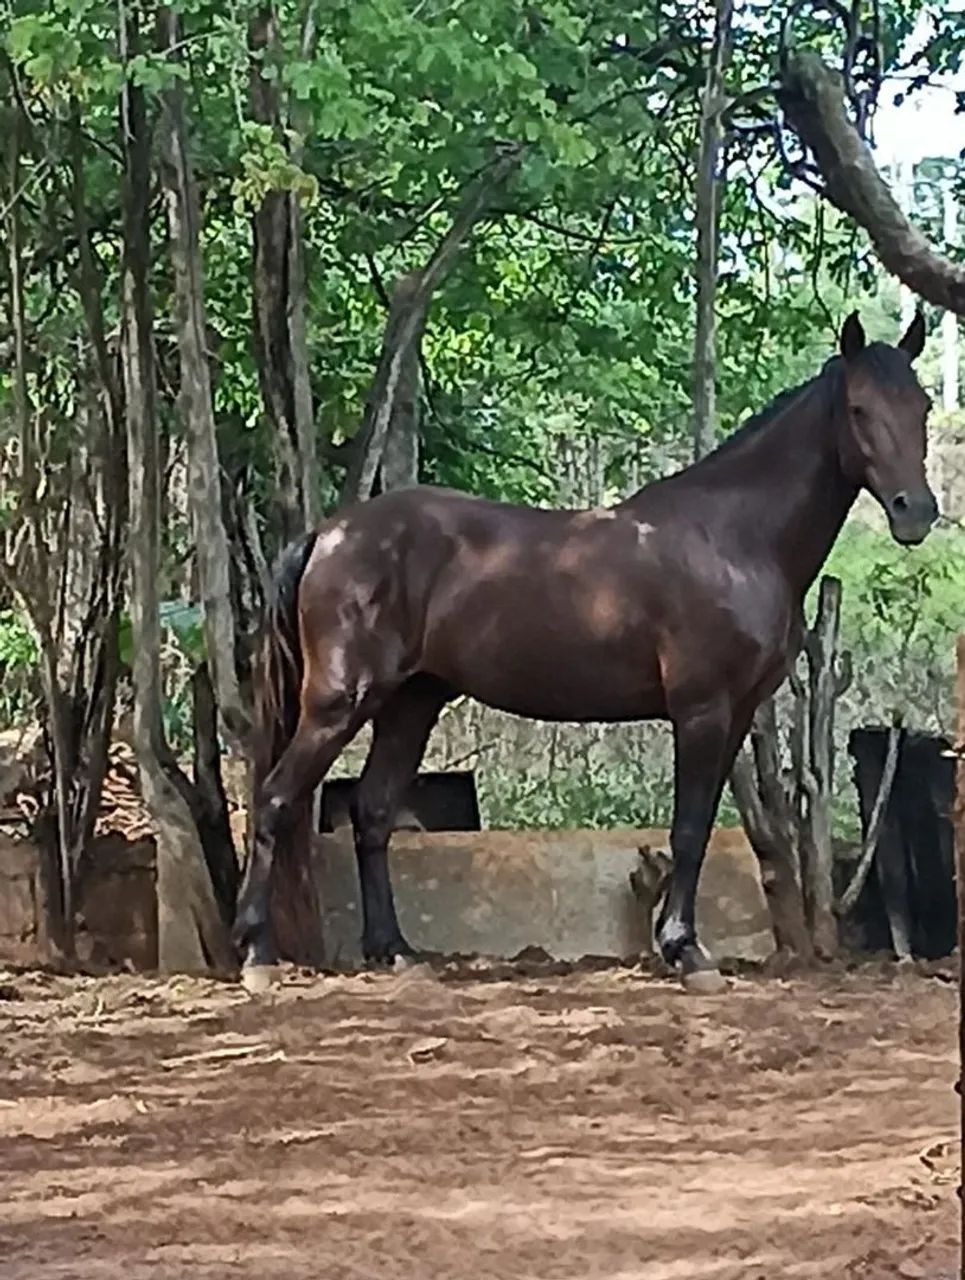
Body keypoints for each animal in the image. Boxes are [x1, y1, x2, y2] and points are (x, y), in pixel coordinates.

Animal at [233, 311, 937, 991]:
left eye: (923, 405)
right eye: (858, 409)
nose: (917, 512)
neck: (733, 539)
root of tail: (329, 534)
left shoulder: (735, 715)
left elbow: (700, 826)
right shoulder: (702, 711)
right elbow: (688, 830)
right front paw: (685, 952)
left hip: (411, 702)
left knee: (373, 813)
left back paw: (397, 953)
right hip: (340, 700)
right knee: (275, 799)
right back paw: (258, 956)